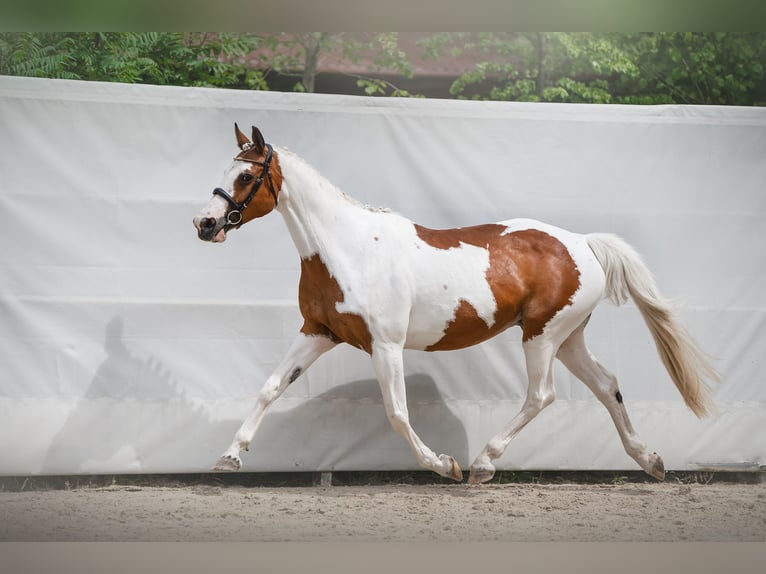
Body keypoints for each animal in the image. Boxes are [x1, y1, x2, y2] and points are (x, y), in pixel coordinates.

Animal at [192, 126, 720, 486]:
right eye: (224, 171)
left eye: (245, 174)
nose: (205, 224)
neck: (349, 248)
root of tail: (583, 244)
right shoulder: (317, 333)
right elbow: (270, 388)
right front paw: (229, 457)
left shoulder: (386, 344)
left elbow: (397, 412)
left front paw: (443, 465)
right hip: (568, 337)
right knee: (607, 385)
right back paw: (651, 461)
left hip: (542, 335)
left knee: (541, 395)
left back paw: (482, 464)